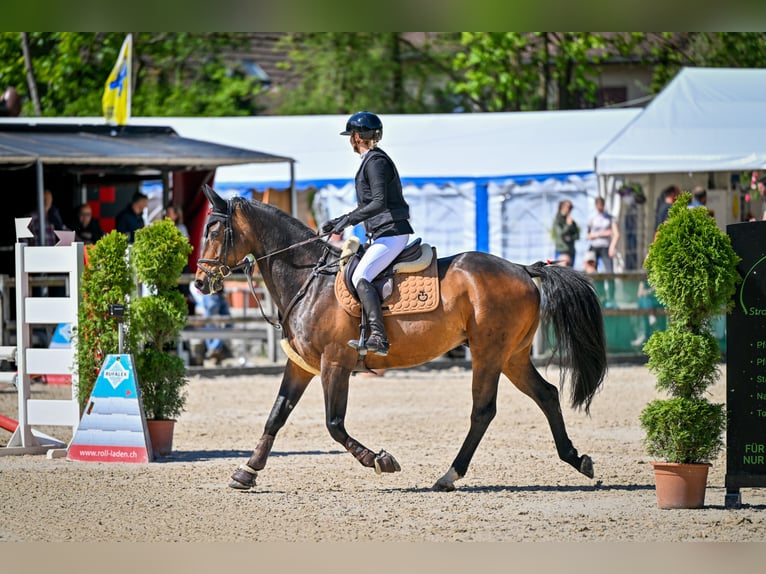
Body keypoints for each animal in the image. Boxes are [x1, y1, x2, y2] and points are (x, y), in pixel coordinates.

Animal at [194, 184, 607, 492]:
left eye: (213, 231)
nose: (199, 282)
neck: (308, 280)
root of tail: (522, 268)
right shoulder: (303, 366)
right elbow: (276, 416)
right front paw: (247, 471)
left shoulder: (334, 364)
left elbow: (334, 423)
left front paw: (380, 460)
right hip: (512, 356)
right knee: (546, 395)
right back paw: (577, 459)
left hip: (489, 354)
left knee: (483, 411)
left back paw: (449, 475)